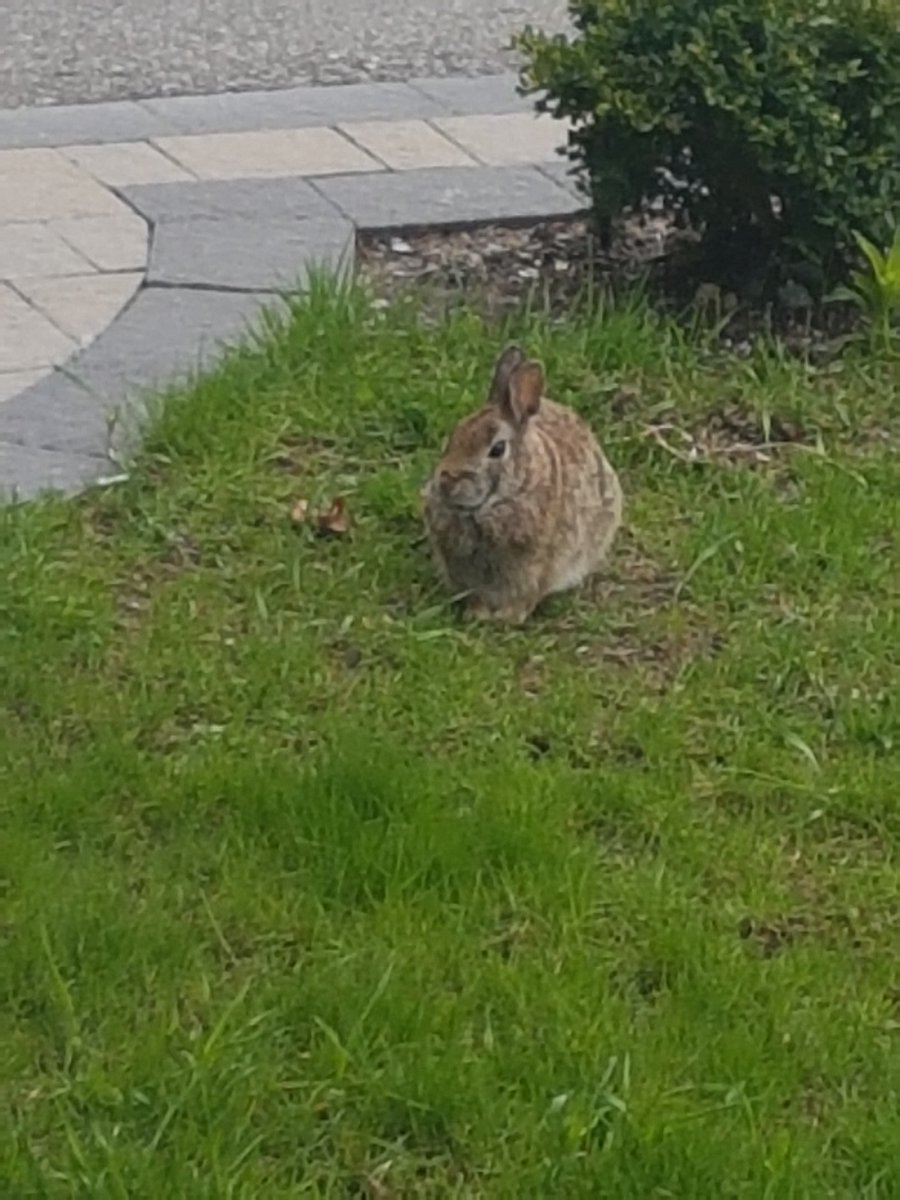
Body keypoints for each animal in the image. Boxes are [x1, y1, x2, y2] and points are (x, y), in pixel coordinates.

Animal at [422, 344, 623, 624]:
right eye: (454, 435)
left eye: (497, 449)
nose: (446, 481)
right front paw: (478, 614)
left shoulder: (534, 568)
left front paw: (508, 618)